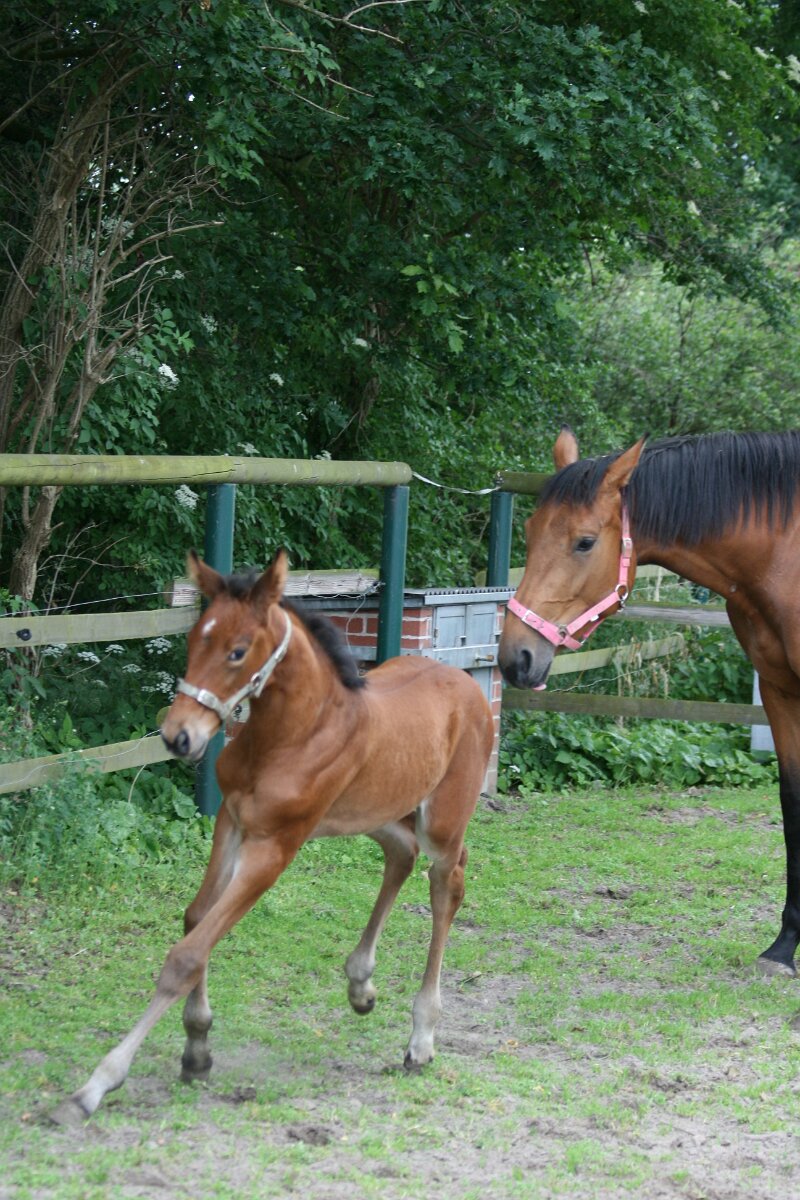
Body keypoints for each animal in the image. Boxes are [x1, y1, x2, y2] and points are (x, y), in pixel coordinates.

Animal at [51, 549, 494, 1125]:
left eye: (238, 652)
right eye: (194, 641)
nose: (178, 737)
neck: (293, 734)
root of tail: (469, 686)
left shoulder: (276, 845)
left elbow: (187, 954)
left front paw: (96, 1085)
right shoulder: (232, 820)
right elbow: (197, 918)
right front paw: (197, 1045)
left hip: (441, 821)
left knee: (446, 885)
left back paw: (421, 1039)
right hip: (372, 810)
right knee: (400, 854)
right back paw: (361, 984)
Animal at [498, 425, 800, 978]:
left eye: (585, 541)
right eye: (529, 532)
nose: (516, 657)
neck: (788, 553)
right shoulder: (778, 689)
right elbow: (792, 802)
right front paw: (784, 946)